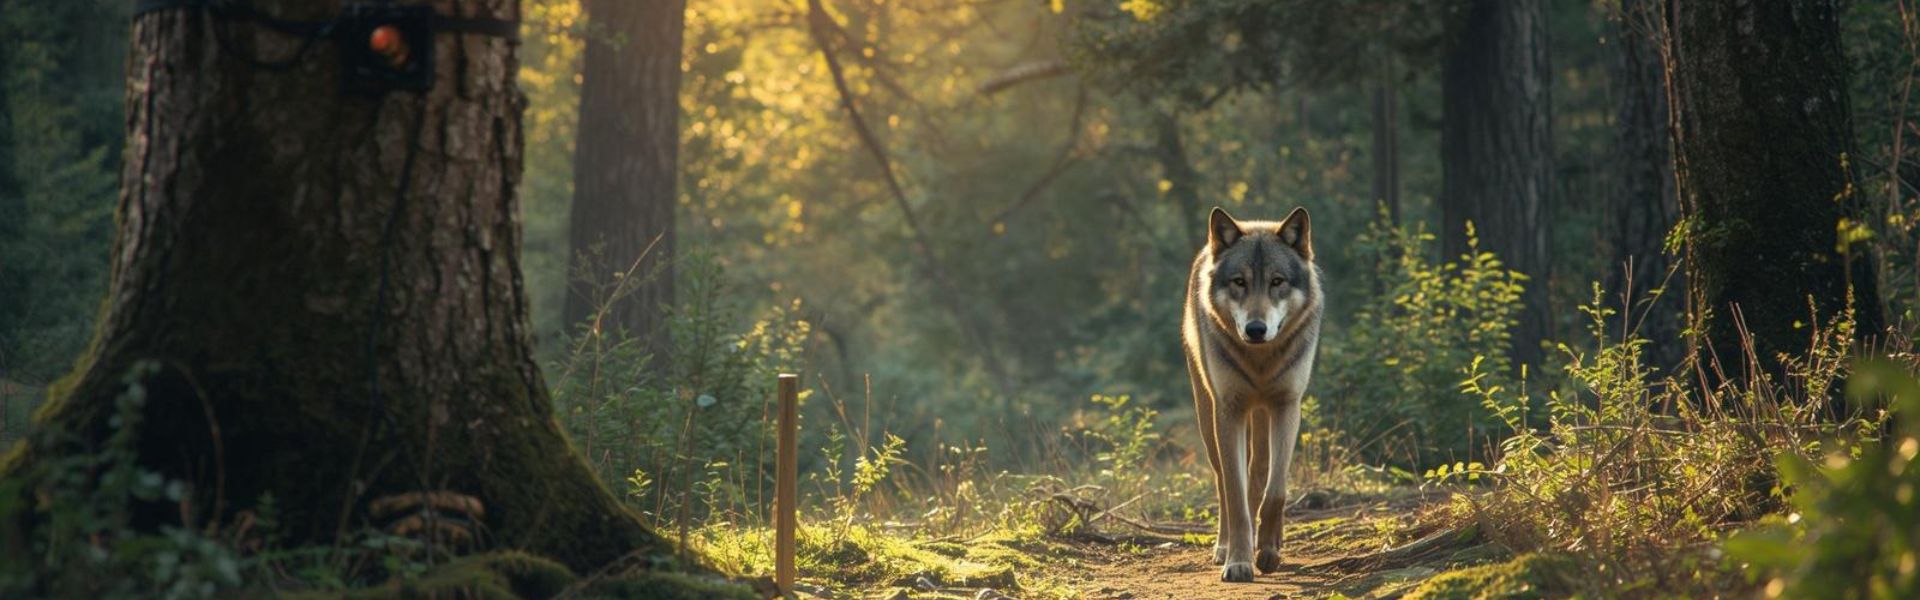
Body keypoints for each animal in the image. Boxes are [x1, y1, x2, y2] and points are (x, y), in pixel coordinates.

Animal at [1182, 206, 1323, 582]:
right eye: (1239, 282)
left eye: (1277, 281)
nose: (1256, 329)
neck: (1261, 362)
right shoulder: (1229, 411)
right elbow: (1235, 495)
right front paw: (1239, 561)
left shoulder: (1287, 406)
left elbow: (1276, 490)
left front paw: (1270, 550)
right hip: (1209, 418)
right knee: (1224, 481)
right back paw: (1223, 547)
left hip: (1261, 416)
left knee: (1260, 472)